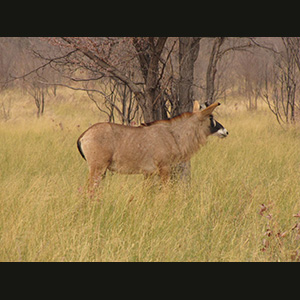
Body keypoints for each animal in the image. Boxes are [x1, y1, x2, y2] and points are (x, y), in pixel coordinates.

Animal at [77, 102, 227, 189]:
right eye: (211, 118)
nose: (225, 131)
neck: (173, 134)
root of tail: (84, 135)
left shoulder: (148, 173)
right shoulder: (164, 168)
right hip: (97, 168)